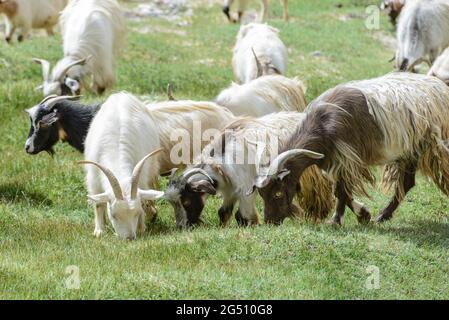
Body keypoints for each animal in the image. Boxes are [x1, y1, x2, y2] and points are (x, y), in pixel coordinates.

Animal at [82, 91, 234, 239]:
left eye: (136, 213)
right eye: (113, 215)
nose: (129, 238)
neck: (116, 148)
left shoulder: (142, 174)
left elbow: (142, 199)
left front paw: (142, 227)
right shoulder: (93, 177)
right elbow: (98, 203)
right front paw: (99, 231)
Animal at [163, 112, 334, 228]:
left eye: (186, 201)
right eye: (172, 203)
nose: (182, 226)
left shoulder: (246, 187)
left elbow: (244, 217)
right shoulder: (230, 188)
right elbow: (223, 212)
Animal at [248, 73, 448, 225]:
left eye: (278, 193)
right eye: (261, 194)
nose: (271, 221)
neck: (323, 124)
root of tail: (441, 89)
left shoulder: (347, 156)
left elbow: (341, 191)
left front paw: (336, 220)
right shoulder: (335, 160)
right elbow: (341, 190)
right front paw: (364, 214)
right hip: (410, 152)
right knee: (407, 183)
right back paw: (382, 216)